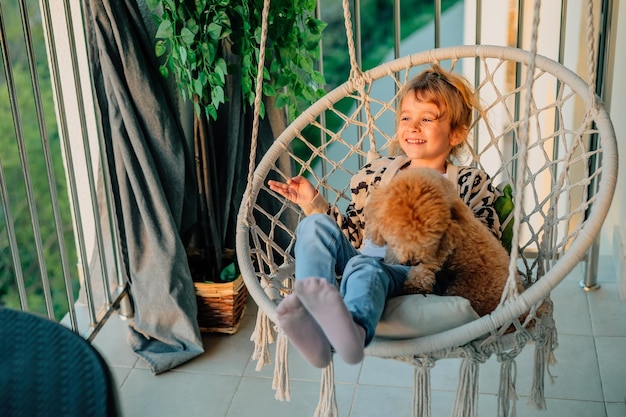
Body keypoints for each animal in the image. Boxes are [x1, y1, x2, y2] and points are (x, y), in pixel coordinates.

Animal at [364, 166, 520, 316]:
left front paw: (415, 285)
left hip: (470, 288)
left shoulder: (441, 249)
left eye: (430, 240)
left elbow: (425, 268)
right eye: (399, 235)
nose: (411, 262)